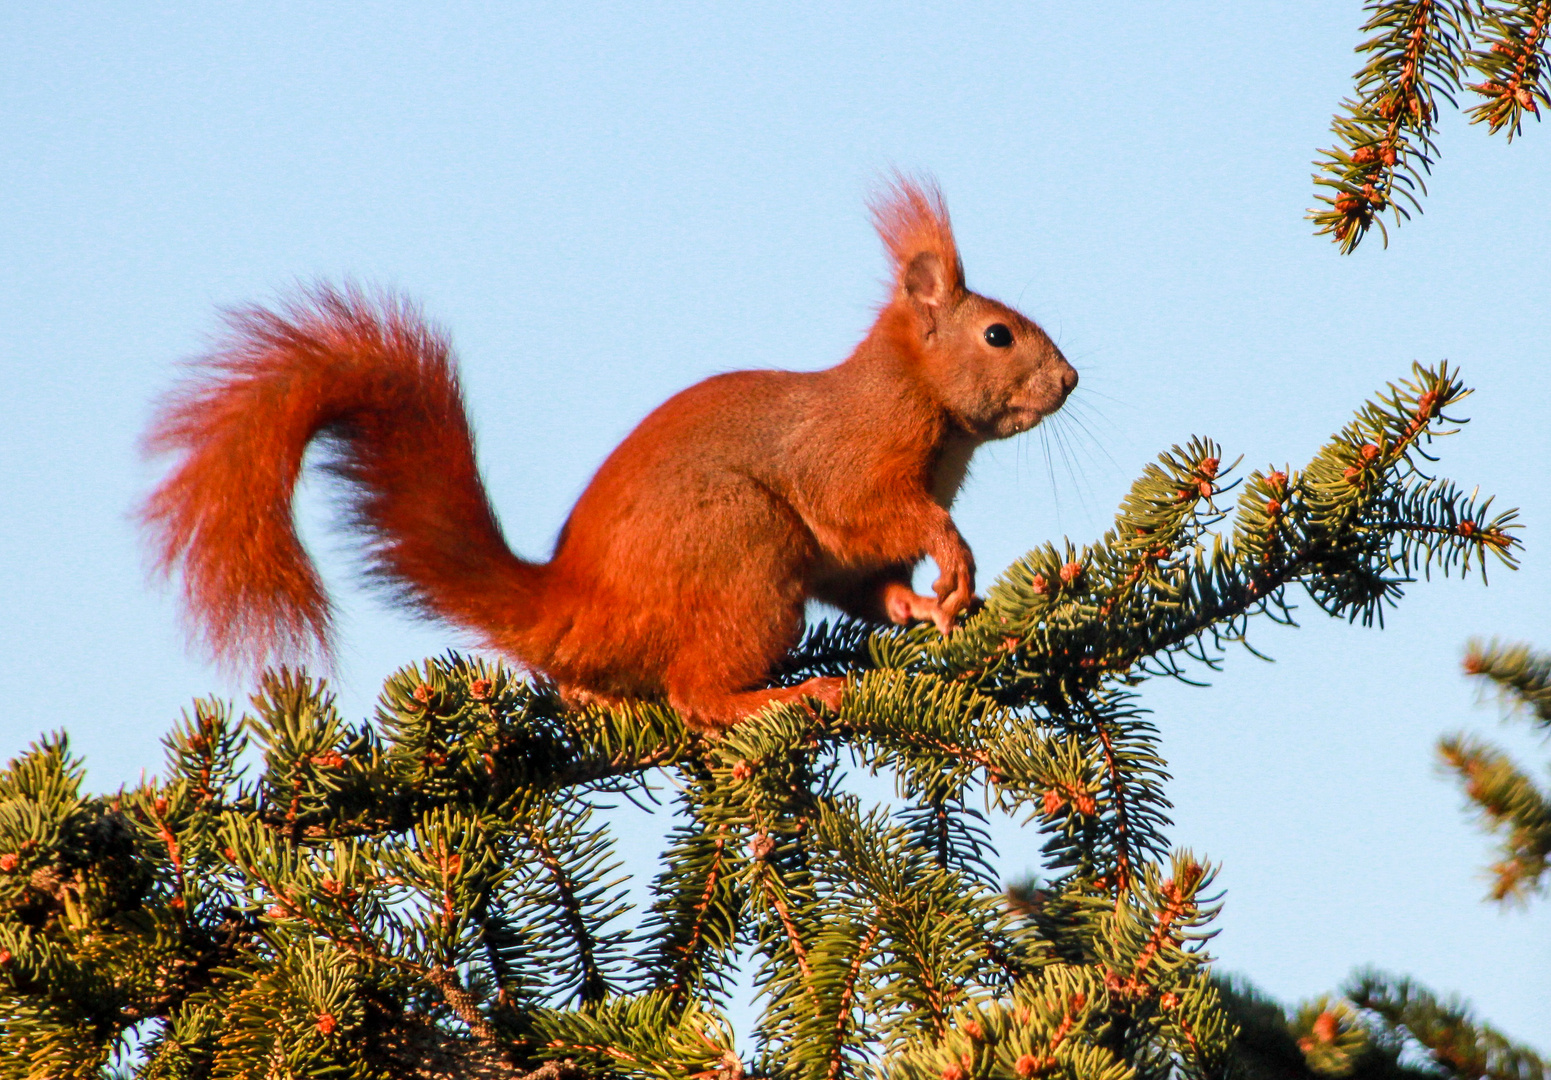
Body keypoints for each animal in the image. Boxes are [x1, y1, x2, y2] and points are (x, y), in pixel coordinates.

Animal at [142, 181, 1079, 729]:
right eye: (998, 335)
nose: (1069, 380)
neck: (922, 404)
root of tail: (576, 602)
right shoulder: (850, 460)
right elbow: (884, 514)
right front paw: (952, 558)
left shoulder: (852, 559)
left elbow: (871, 588)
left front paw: (928, 608)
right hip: (745, 547)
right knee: (696, 697)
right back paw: (789, 694)